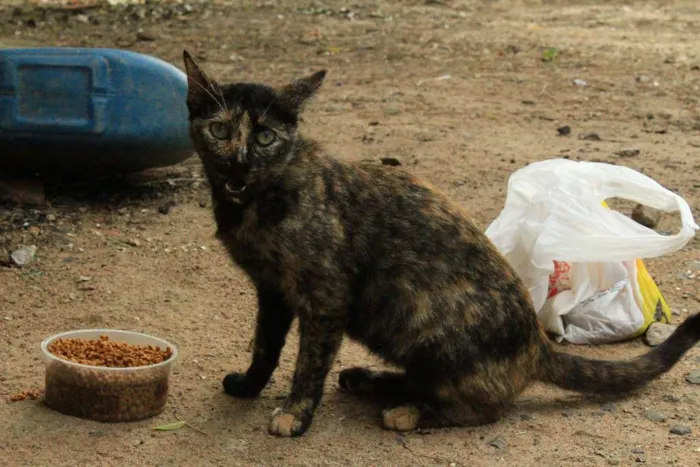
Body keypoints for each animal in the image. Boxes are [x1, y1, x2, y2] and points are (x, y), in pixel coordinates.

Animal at [182, 51, 700, 438]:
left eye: (266, 136)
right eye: (221, 130)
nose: (239, 161)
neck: (254, 203)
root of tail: (537, 344)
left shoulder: (325, 297)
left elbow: (308, 362)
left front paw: (295, 413)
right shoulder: (271, 290)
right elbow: (265, 346)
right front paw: (250, 385)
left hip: (429, 327)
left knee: (485, 407)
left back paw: (409, 412)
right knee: (426, 382)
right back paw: (369, 379)